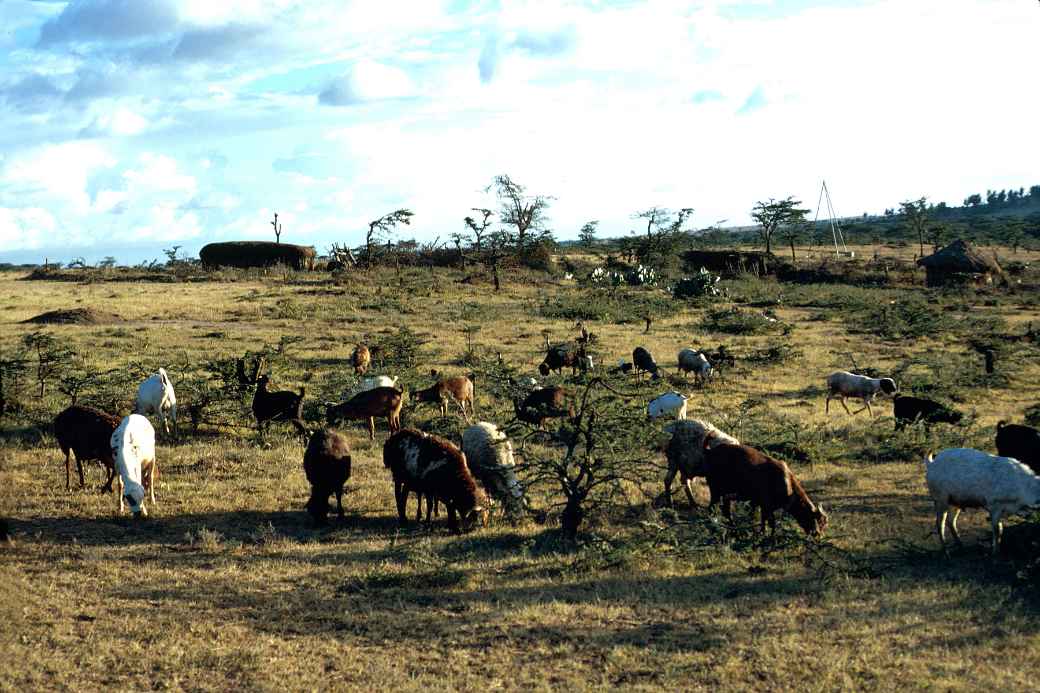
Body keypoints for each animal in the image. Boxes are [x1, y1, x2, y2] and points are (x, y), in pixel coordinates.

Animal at [698, 437, 827, 532]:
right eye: (818, 521)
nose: (817, 535)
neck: (787, 481)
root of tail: (710, 451)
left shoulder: (761, 505)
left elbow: (764, 520)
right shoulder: (766, 505)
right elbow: (769, 522)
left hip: (725, 493)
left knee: (725, 510)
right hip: (715, 490)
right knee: (712, 509)